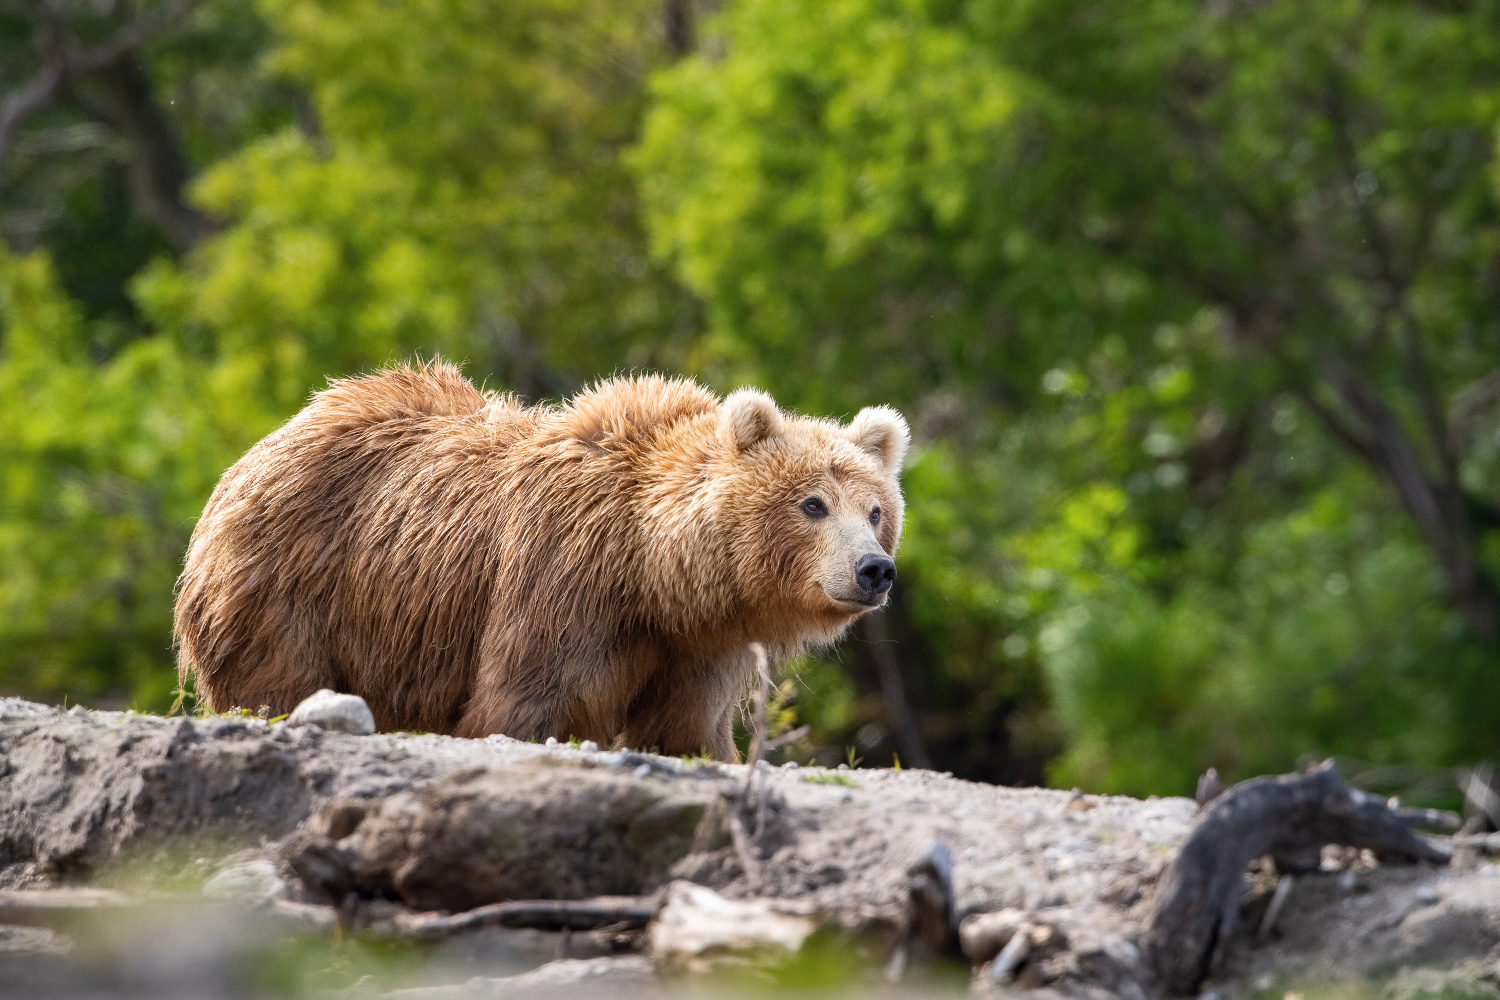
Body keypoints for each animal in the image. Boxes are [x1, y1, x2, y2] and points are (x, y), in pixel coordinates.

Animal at [170, 359, 906, 758]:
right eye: (812, 504)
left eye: (874, 511)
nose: (874, 570)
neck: (651, 570)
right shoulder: (563, 579)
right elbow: (524, 703)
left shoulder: (699, 644)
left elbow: (687, 728)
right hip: (293, 581)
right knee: (277, 678)